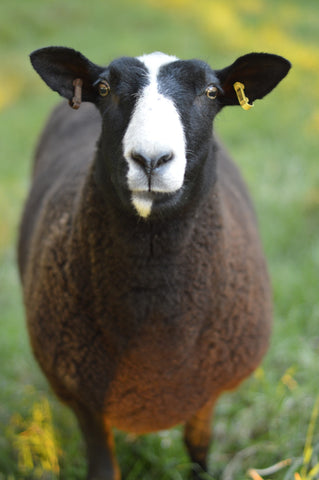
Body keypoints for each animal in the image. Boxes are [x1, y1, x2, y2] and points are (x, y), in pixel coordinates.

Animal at [18, 46, 292, 480]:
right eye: (103, 88)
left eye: (212, 92)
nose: (151, 159)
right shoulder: (86, 398)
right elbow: (104, 469)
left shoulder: (205, 393)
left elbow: (198, 449)